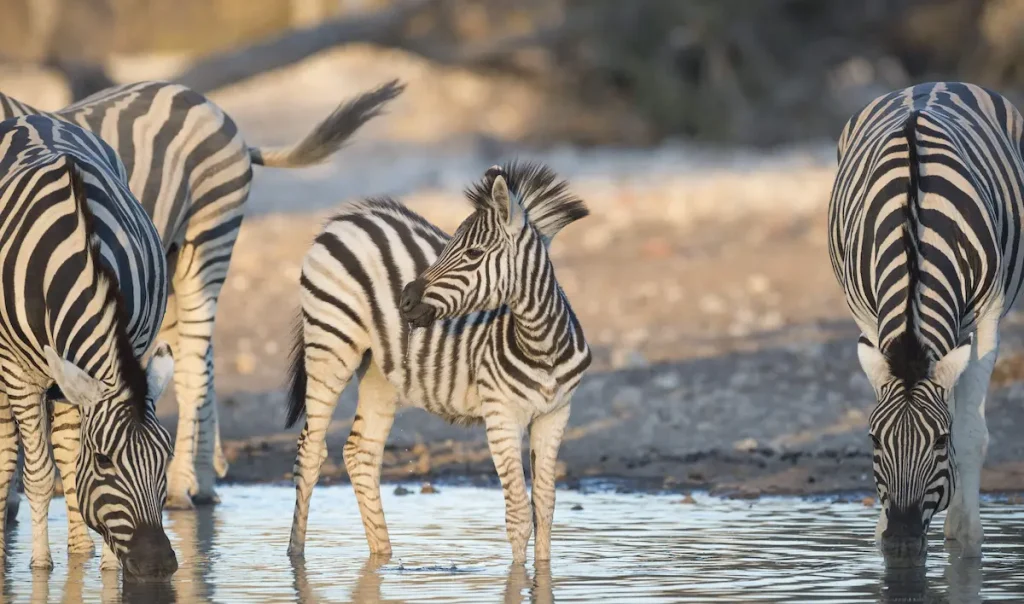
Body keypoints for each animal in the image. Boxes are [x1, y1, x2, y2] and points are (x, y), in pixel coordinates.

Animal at [0, 76, 405, 532]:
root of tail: (206, 103)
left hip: (208, 244)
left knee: (193, 366)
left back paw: (180, 489)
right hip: (169, 271)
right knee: (200, 358)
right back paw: (206, 481)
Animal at [0, 114, 176, 581]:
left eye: (166, 457)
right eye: (103, 461)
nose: (157, 564)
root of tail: (32, 117)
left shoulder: (128, 347)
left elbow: (68, 460)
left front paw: (110, 570)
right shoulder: (19, 372)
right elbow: (39, 476)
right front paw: (40, 566)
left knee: (64, 444)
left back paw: (81, 549)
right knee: (10, 454)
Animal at [286, 160, 593, 565]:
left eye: (474, 253)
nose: (405, 302)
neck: (542, 346)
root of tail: (347, 217)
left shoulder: (555, 415)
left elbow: (544, 508)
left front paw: (542, 572)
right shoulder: (501, 415)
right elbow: (518, 513)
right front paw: (518, 574)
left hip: (379, 370)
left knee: (361, 453)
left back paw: (383, 556)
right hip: (329, 342)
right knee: (310, 451)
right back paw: (295, 555)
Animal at [827, 80, 1024, 565]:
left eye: (938, 441)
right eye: (874, 440)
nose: (900, 543)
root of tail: (933, 82)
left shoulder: (988, 316)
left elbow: (971, 431)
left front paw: (966, 538)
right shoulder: (867, 314)